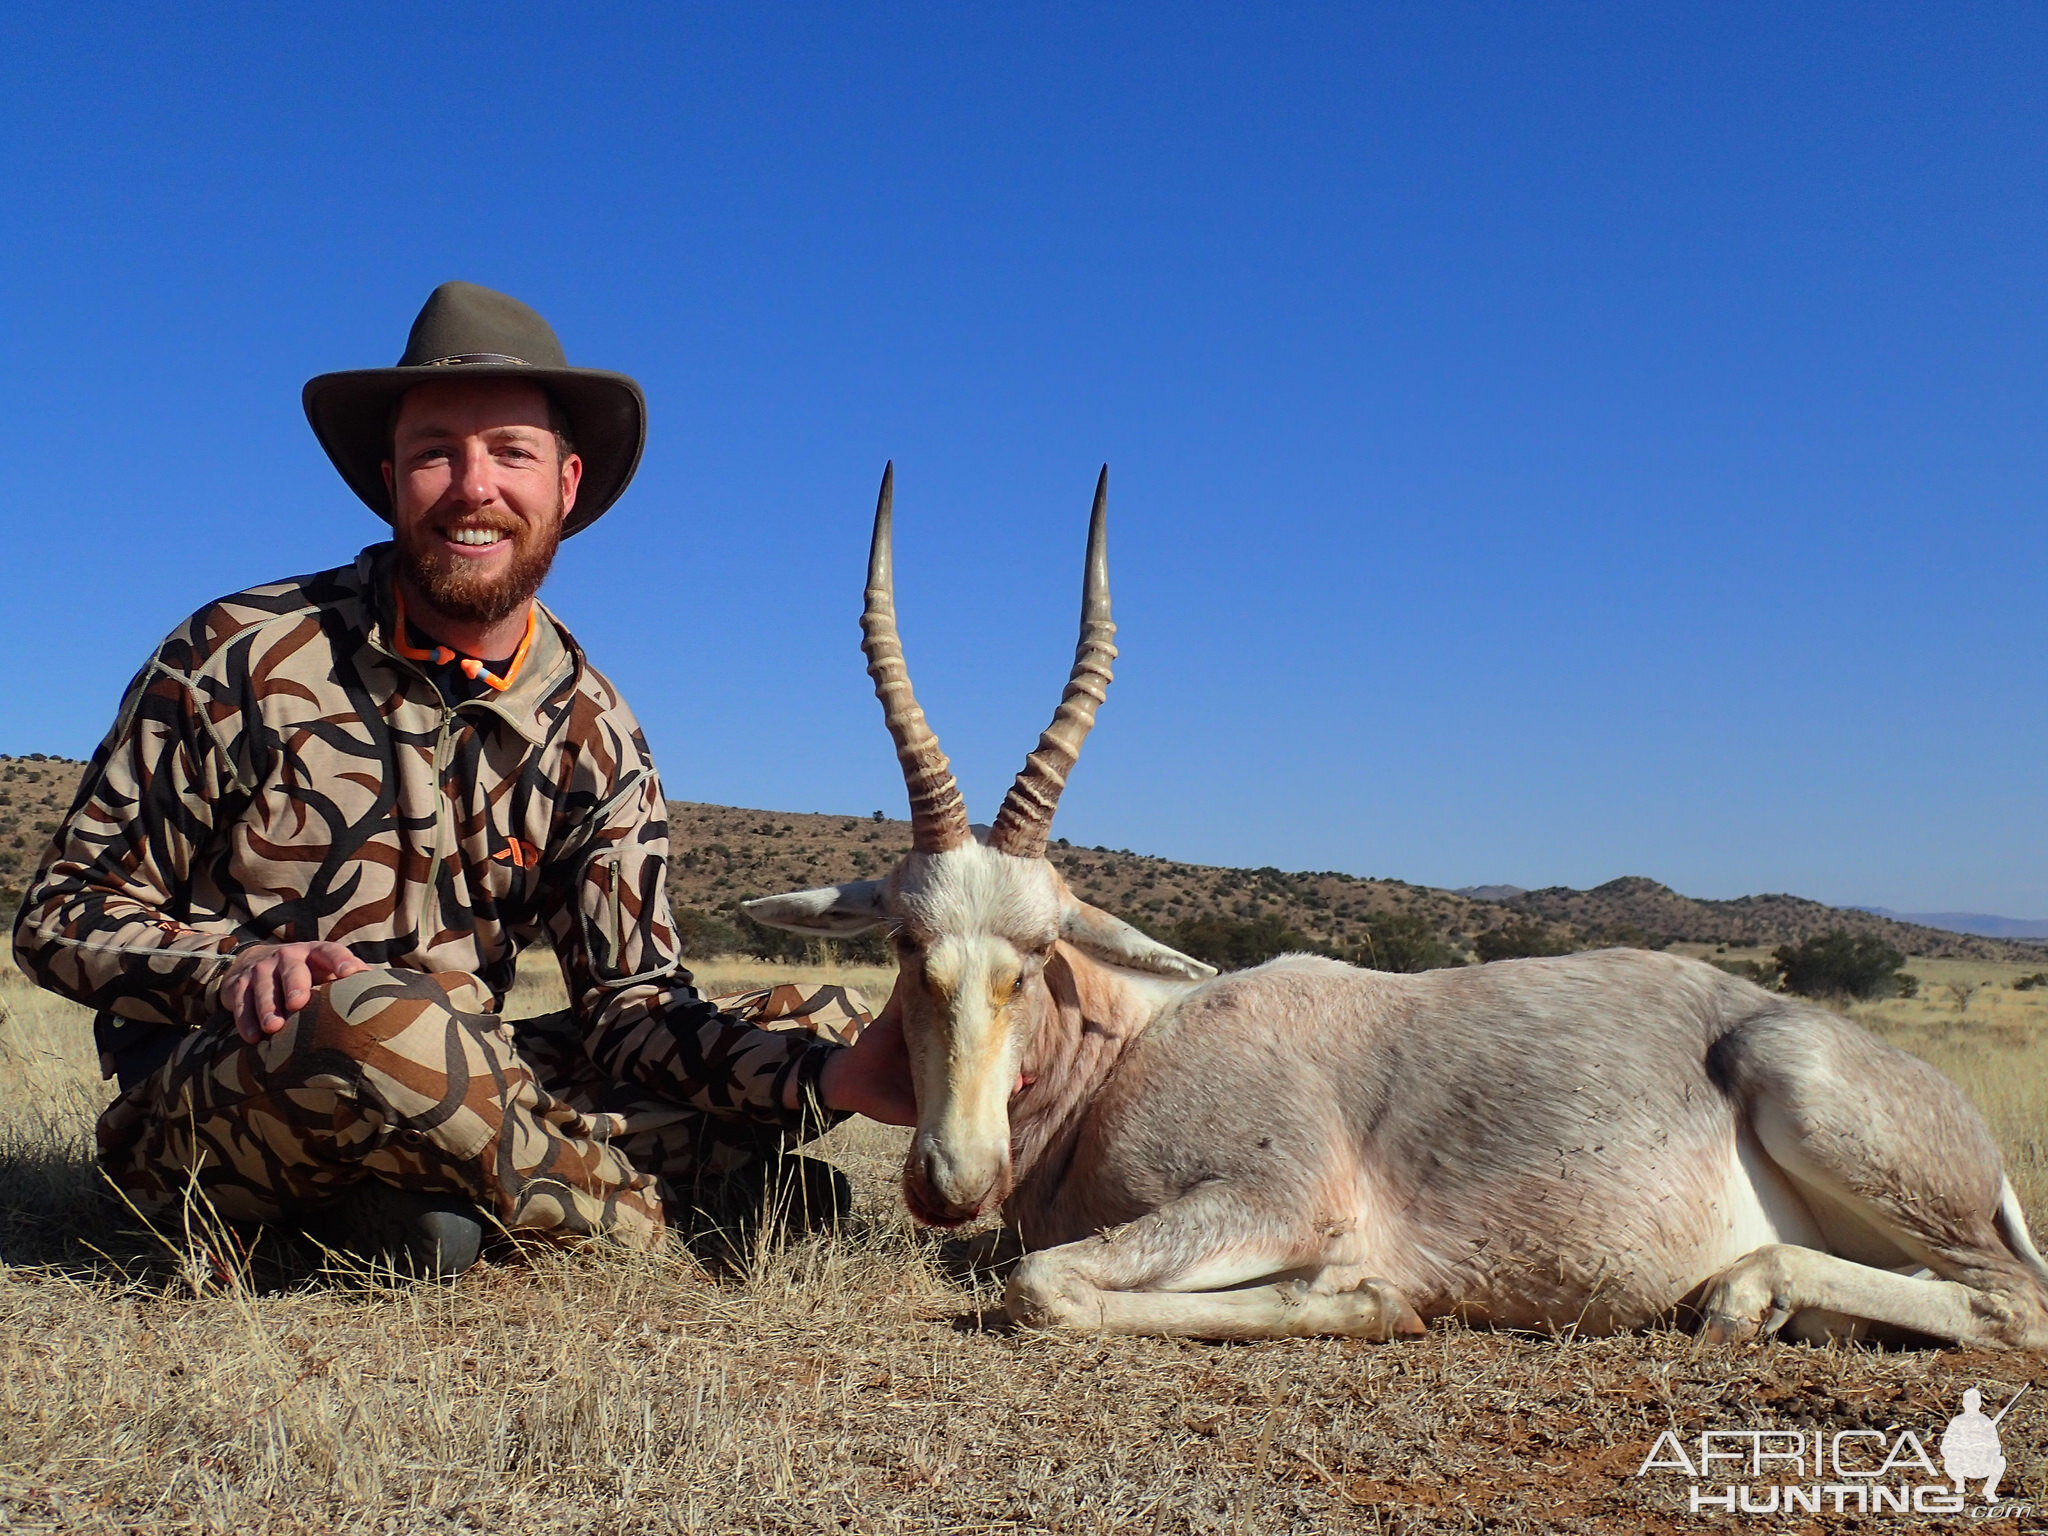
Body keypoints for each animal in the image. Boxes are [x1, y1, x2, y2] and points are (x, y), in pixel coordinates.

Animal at [745, 468, 2048, 1343]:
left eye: (1037, 949)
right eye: (906, 941)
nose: (948, 1179)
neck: (1138, 1041)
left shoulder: (1270, 1198)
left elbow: (1043, 1284)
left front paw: (1364, 1287)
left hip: (1811, 1098)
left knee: (2011, 1304)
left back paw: (1742, 1293)